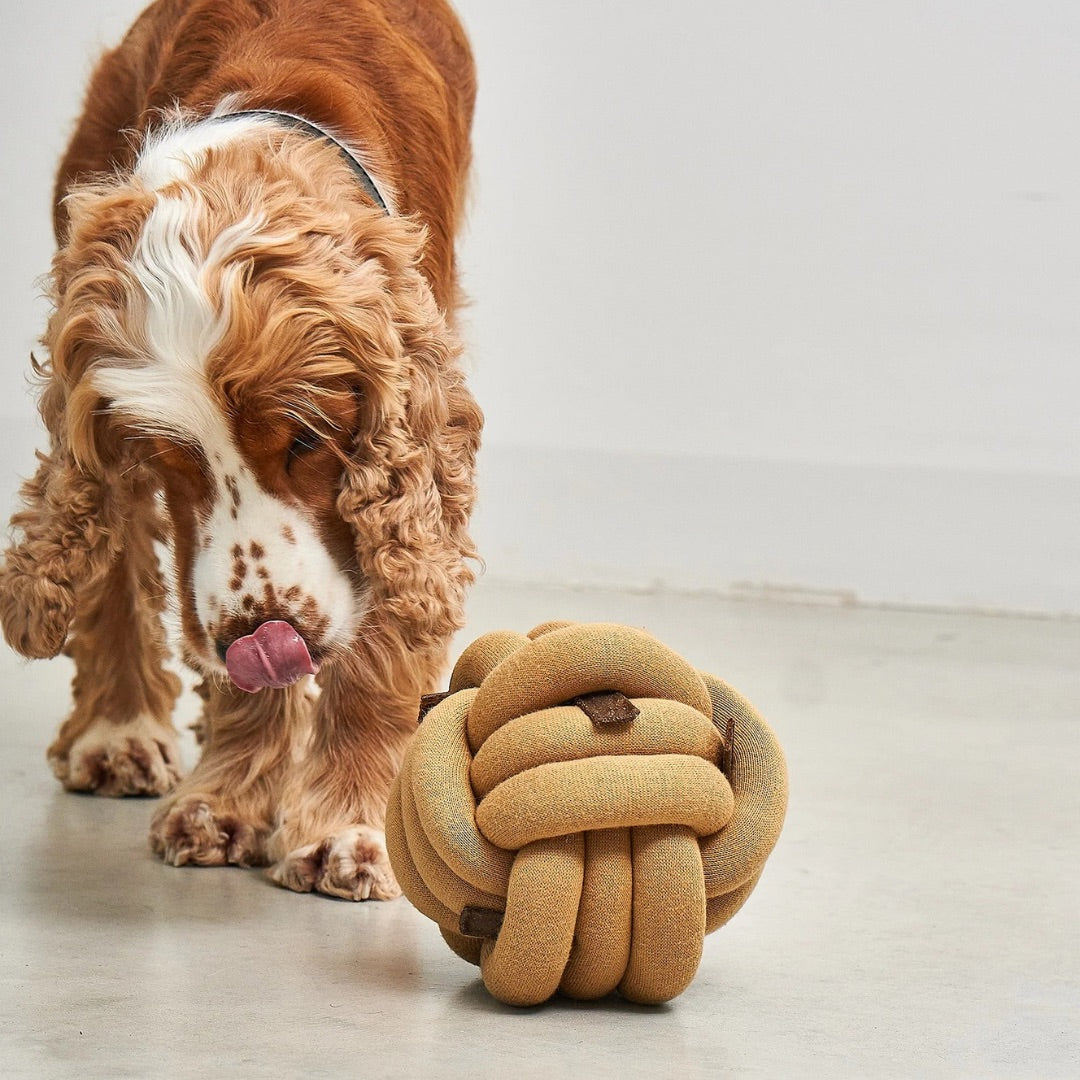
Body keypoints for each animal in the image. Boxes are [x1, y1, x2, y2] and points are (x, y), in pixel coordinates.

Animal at [0, 0, 481, 902]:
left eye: (307, 437)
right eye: (168, 460)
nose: (262, 637)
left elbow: (388, 622)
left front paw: (352, 830)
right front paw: (225, 802)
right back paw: (117, 732)